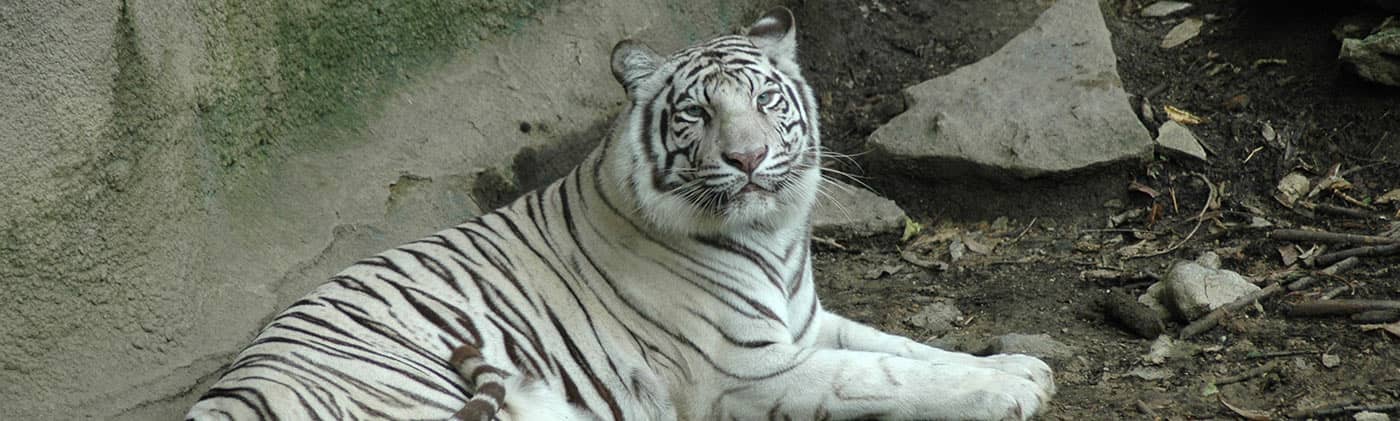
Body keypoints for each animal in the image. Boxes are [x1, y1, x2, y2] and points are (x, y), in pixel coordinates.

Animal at [186, 8, 1054, 421]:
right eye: (698, 113)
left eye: (766, 100)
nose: (748, 158)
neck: (773, 238)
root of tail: (220, 398)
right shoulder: (751, 371)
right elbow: (884, 374)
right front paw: (1006, 394)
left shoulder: (807, 324)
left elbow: (906, 345)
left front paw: (1019, 365)